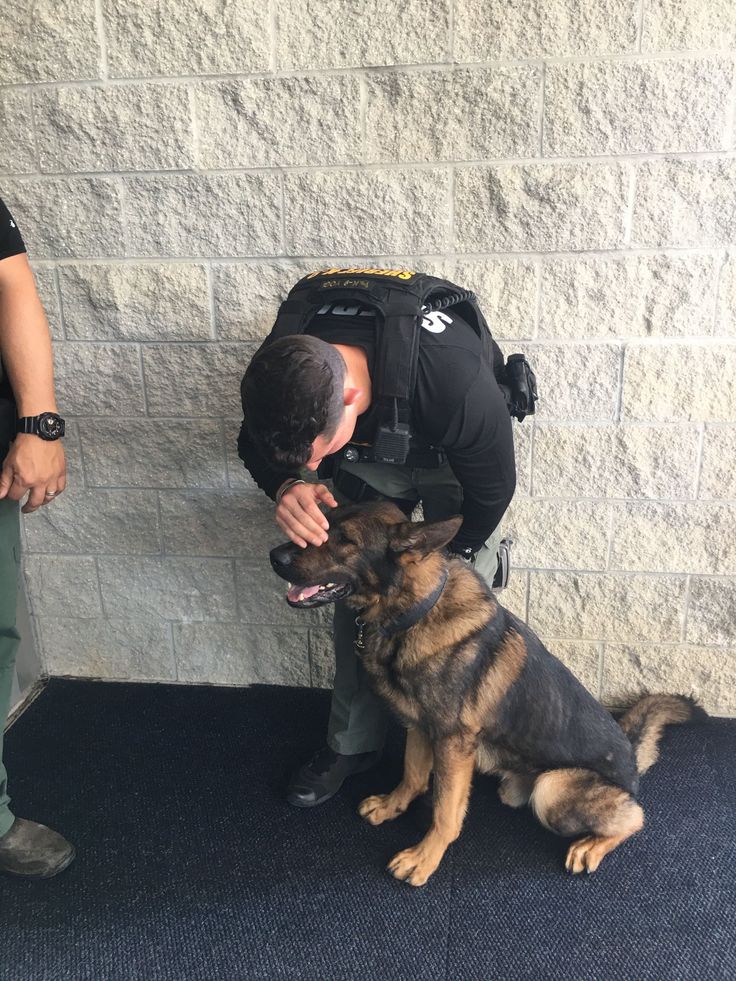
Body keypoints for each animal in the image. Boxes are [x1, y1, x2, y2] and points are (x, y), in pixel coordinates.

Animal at [268, 502, 696, 884]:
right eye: (324, 521)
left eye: (345, 540)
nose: (275, 554)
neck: (415, 612)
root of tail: (632, 761)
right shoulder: (420, 728)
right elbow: (412, 775)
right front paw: (393, 805)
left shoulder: (453, 744)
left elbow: (445, 810)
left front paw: (425, 857)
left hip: (552, 789)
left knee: (635, 818)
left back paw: (591, 845)